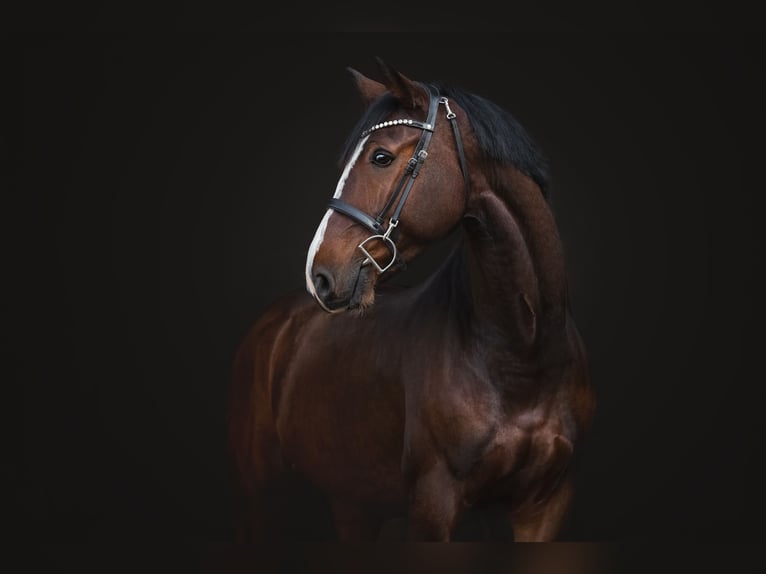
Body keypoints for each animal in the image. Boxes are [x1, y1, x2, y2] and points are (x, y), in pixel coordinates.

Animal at [228, 58, 595, 542]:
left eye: (380, 157)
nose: (318, 276)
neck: (524, 354)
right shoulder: (432, 505)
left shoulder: (546, 507)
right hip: (259, 496)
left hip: (352, 501)